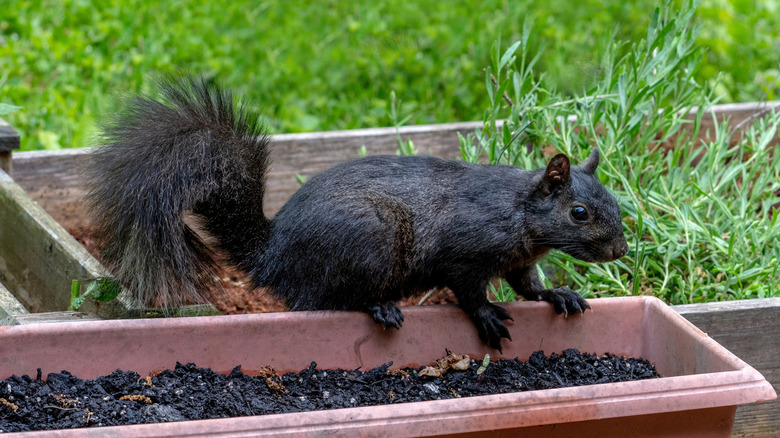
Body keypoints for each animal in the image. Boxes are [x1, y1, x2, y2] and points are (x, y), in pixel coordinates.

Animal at [86, 75, 629, 352]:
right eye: (579, 212)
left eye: (615, 202)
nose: (620, 250)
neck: (519, 214)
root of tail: (274, 257)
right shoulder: (466, 250)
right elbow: (469, 288)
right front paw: (488, 316)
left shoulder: (520, 259)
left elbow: (527, 285)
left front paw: (559, 294)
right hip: (371, 238)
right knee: (333, 298)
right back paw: (379, 306)